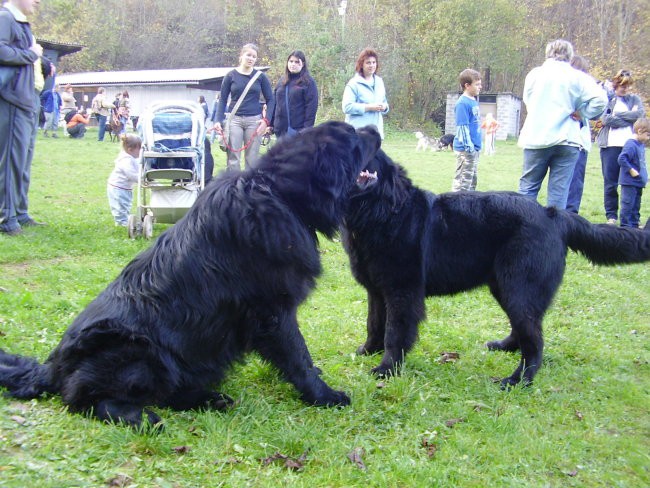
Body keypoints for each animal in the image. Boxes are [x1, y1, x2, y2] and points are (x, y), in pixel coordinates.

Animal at [0, 120, 382, 426]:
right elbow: (298, 356)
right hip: (139, 353)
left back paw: (209, 398)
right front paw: (323, 395)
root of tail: (51, 367)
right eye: (353, 136)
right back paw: (141, 417)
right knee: (86, 399)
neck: (279, 193)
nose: (375, 129)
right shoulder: (272, 311)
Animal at [342, 151, 648, 386]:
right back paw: (504, 347)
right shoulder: (377, 291)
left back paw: (517, 380)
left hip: (518, 287)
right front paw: (367, 350)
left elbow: (395, 333)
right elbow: (374, 324)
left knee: (534, 341)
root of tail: (553, 214)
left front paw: (387, 369)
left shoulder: (402, 293)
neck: (381, 212)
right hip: (506, 287)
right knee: (525, 329)